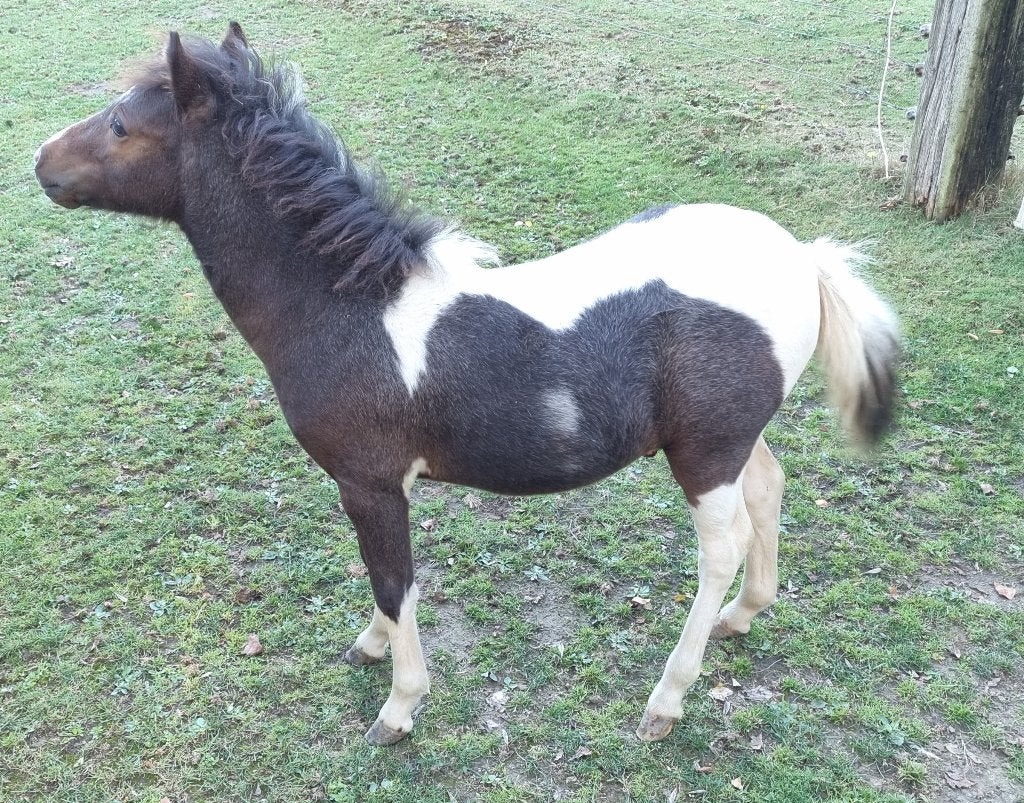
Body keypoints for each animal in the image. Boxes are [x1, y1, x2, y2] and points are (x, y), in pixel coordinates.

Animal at [34, 23, 900, 746]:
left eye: (120, 126)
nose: (40, 162)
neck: (350, 307)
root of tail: (802, 256)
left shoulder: (370, 480)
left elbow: (394, 580)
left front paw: (399, 705)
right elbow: (386, 584)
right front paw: (372, 647)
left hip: (705, 452)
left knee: (722, 546)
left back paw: (667, 697)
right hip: (730, 437)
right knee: (770, 487)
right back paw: (743, 616)